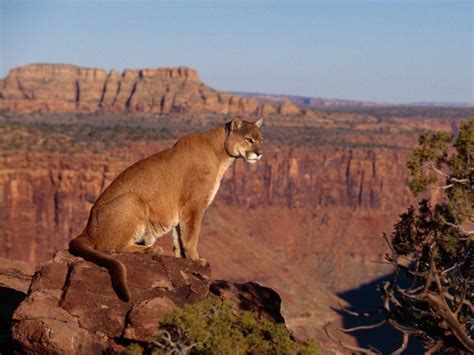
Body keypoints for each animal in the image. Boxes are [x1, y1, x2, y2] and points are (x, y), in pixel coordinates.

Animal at [69, 118, 262, 302]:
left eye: (260, 139)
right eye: (249, 139)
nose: (259, 154)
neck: (220, 152)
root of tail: (87, 229)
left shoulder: (181, 211)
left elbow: (179, 238)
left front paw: (182, 259)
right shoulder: (194, 205)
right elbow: (192, 235)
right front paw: (196, 259)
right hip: (133, 200)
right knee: (110, 248)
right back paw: (151, 249)